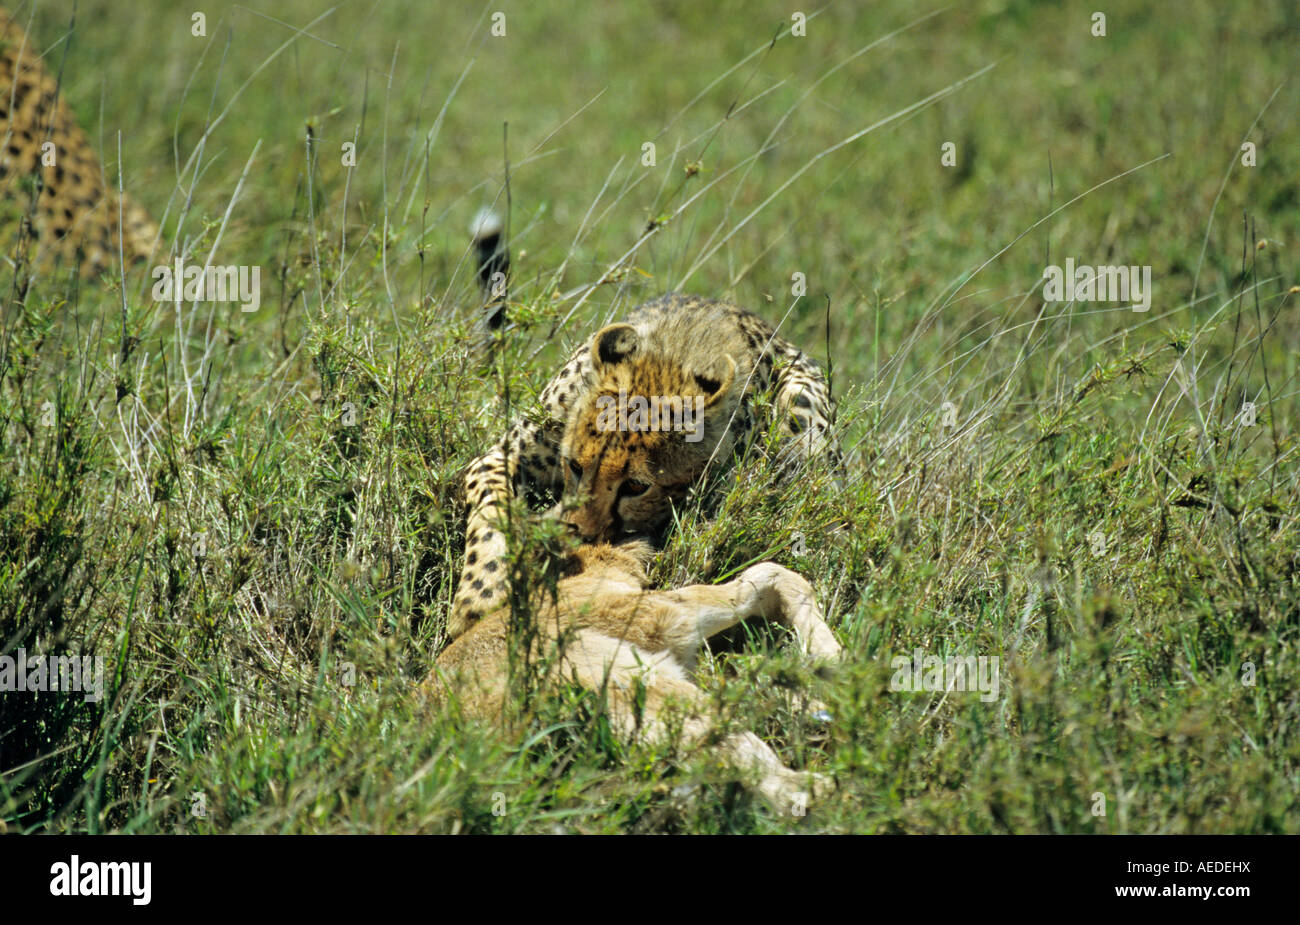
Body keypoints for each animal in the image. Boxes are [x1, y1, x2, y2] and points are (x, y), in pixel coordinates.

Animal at [421, 537, 837, 810]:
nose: (639, 545)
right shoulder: (666, 616)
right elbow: (769, 575)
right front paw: (832, 657)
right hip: (645, 685)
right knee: (755, 762)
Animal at [452, 292, 847, 639]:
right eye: (575, 466)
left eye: (635, 486)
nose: (579, 533)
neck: (673, 358)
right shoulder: (498, 456)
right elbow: (491, 510)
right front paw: (479, 597)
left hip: (801, 406)